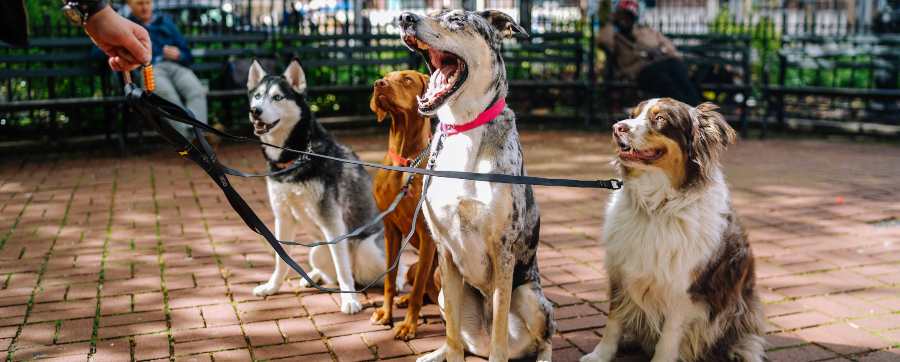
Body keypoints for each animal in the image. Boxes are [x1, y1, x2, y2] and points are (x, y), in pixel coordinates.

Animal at [370, 70, 440, 340]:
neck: (405, 163)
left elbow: (419, 289)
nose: (378, 84)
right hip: (412, 267)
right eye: (384, 76)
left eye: (407, 79)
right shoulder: (390, 229)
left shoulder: (428, 235)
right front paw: (386, 313)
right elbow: (390, 280)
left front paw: (409, 326)